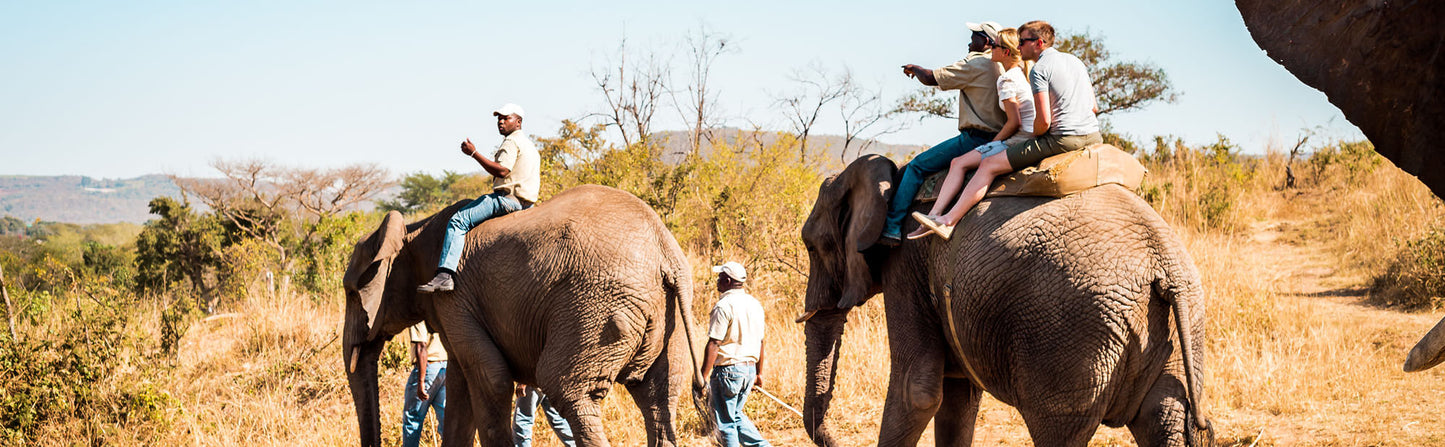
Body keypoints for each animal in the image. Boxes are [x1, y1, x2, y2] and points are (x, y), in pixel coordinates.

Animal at [345, 184, 716, 445]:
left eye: (351, 292)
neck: (413, 232)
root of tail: (665, 250)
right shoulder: (454, 306)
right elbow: (460, 384)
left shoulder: (452, 296)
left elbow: (491, 380)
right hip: (666, 316)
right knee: (659, 398)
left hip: (596, 308)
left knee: (569, 391)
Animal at [797, 154, 1213, 445]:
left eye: (811, 245)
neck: (892, 177)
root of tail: (1163, 262)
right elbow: (958, 398)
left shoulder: (905, 260)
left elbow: (916, 389)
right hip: (1181, 327)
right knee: (1164, 422)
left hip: (1071, 338)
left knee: (1059, 431)